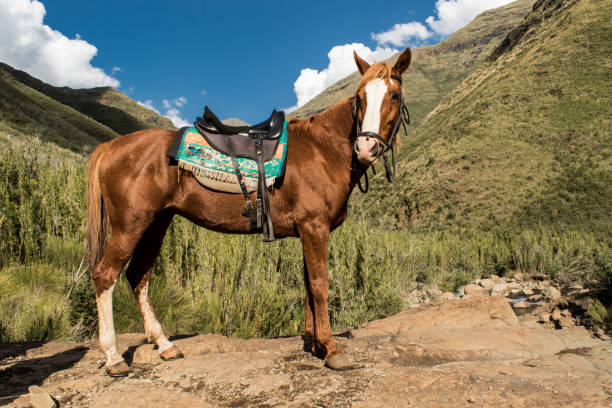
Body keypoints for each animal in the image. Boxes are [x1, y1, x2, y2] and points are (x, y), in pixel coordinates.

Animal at [87, 47, 412, 376]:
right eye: (360, 97)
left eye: (394, 95)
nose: (366, 147)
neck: (324, 150)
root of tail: (112, 145)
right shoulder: (315, 228)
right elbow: (320, 285)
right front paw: (331, 349)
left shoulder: (307, 232)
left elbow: (308, 284)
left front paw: (314, 343)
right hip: (130, 224)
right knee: (105, 275)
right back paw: (113, 357)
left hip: (155, 223)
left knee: (138, 276)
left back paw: (165, 345)